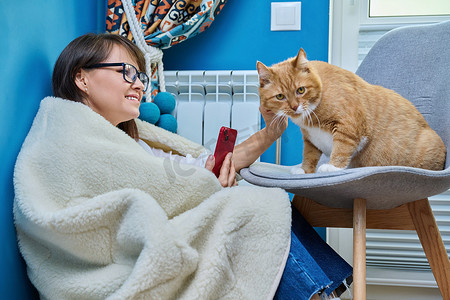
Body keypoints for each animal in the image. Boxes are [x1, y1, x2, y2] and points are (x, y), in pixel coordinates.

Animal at [256, 48, 446, 175]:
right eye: (280, 96)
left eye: (300, 90)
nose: (294, 107)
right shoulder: (311, 139)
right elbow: (309, 154)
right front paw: (304, 170)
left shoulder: (348, 126)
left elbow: (341, 147)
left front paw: (333, 166)